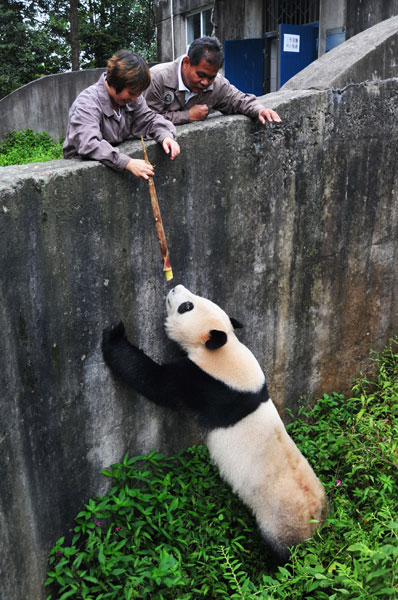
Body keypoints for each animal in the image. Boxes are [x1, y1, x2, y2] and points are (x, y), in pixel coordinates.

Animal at [102, 284, 326, 564]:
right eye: (194, 298)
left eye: (187, 306)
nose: (175, 286)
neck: (224, 347)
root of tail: (315, 523)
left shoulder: (206, 383)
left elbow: (154, 382)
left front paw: (114, 333)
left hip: (280, 520)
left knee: (283, 552)